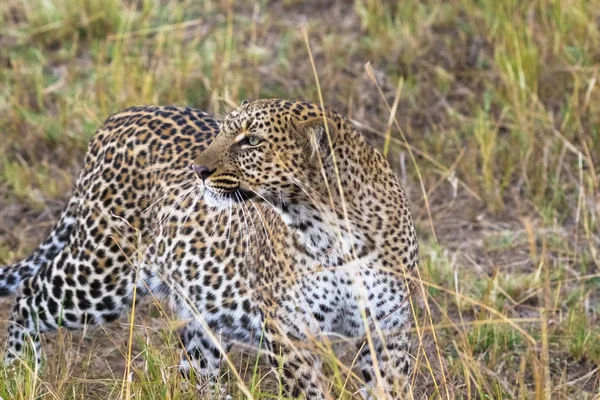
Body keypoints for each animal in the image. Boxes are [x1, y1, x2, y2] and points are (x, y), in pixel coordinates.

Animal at [1, 98, 418, 398]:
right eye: (221, 132)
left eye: (252, 140)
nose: (197, 170)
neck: (329, 233)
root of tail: (118, 117)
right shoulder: (291, 334)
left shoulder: (390, 330)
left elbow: (388, 387)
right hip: (101, 273)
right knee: (29, 295)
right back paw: (18, 372)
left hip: (198, 312)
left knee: (196, 371)